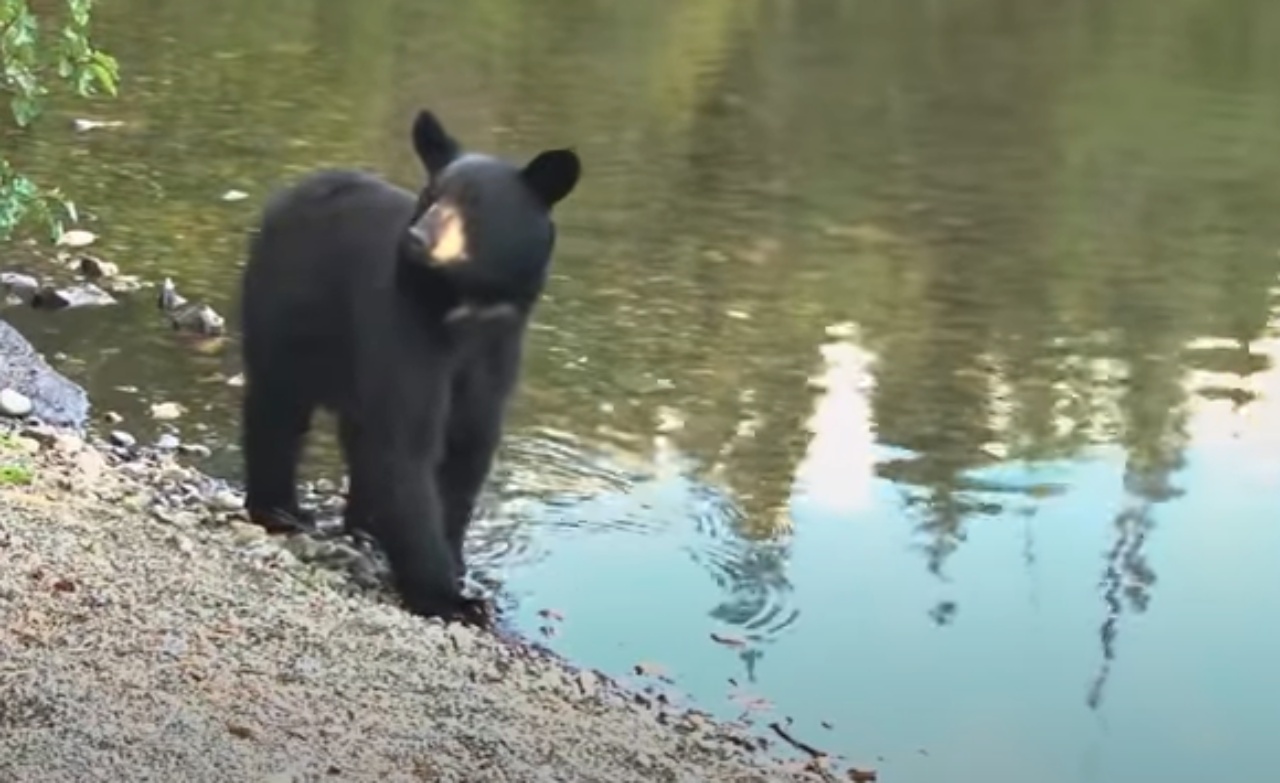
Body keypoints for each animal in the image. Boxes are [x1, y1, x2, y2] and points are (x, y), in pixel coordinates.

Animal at [238, 110, 583, 624]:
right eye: (431, 195)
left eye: (473, 206)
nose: (418, 238)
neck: (465, 307)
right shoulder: (404, 327)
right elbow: (407, 447)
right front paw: (449, 598)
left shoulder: (498, 351)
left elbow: (468, 448)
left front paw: (458, 563)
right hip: (284, 310)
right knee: (279, 405)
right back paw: (280, 509)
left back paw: (362, 524)